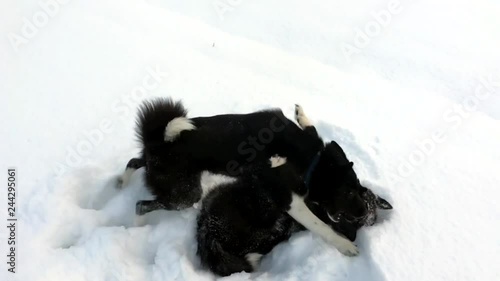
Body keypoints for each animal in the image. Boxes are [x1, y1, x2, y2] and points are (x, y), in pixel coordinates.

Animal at [121, 98, 374, 256]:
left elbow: (311, 127)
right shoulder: (289, 200)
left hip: (161, 172)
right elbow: (320, 225)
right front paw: (345, 245)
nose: (364, 213)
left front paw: (301, 114)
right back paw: (136, 226)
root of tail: (158, 140)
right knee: (140, 205)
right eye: (348, 192)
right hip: (185, 194)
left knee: (134, 162)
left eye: (359, 188)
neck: (310, 158)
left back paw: (121, 182)